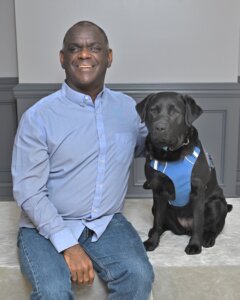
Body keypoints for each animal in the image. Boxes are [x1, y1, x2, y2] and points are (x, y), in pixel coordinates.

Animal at [137, 92, 232, 254]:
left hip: (217, 203)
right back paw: (153, 231)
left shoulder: (197, 192)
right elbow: (157, 222)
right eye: (153, 110)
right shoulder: (158, 192)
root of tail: (184, 228)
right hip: (156, 206)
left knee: (213, 228)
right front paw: (152, 242)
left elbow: (198, 223)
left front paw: (194, 245)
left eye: (175, 112)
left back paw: (208, 238)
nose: (160, 127)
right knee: (161, 223)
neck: (170, 154)